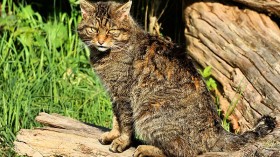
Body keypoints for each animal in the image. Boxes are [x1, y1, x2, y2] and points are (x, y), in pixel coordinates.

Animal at [77, 0, 276, 156]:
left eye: (112, 31)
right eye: (93, 29)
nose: (101, 41)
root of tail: (216, 131)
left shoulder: (123, 94)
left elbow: (125, 122)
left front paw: (121, 141)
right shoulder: (114, 93)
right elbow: (116, 119)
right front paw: (112, 134)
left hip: (149, 113)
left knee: (184, 151)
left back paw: (147, 149)